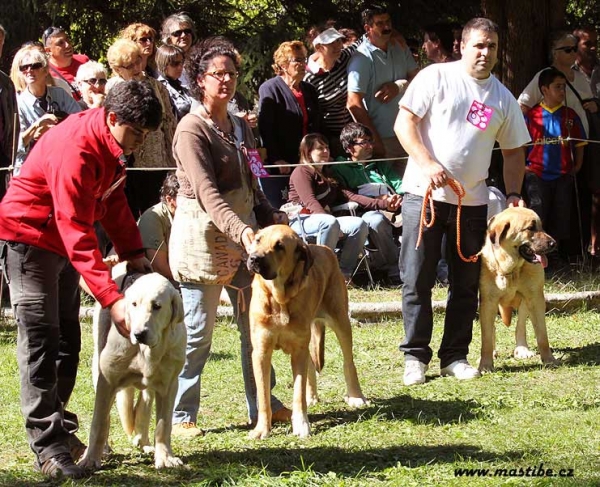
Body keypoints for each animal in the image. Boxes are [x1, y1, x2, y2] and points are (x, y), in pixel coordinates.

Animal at [78, 272, 185, 470]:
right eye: (134, 304)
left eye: (157, 306)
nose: (139, 334)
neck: (146, 351)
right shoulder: (107, 383)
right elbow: (99, 423)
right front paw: (90, 459)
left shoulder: (169, 386)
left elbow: (163, 425)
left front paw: (165, 457)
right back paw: (105, 449)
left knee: (143, 407)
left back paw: (144, 442)